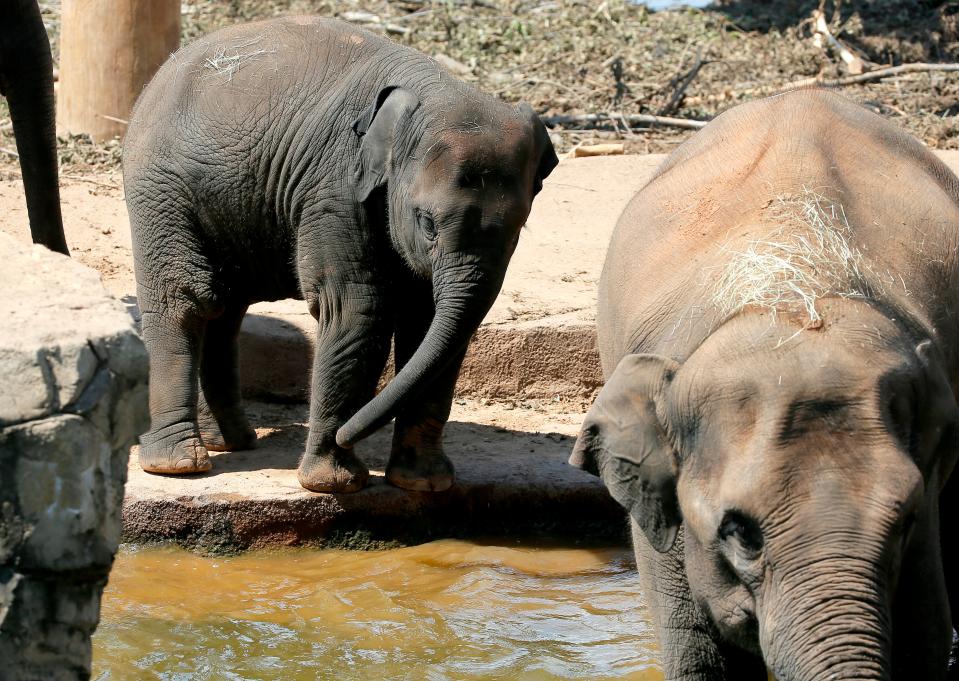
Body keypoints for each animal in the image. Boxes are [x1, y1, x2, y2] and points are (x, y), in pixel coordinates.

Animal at [122, 17, 556, 494]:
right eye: (426, 223)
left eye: (518, 229)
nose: (348, 434)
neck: (433, 86)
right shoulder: (335, 187)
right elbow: (356, 309)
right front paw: (334, 483)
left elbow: (428, 322)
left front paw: (423, 483)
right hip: (159, 190)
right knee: (187, 300)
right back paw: (178, 465)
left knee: (224, 310)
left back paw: (230, 442)